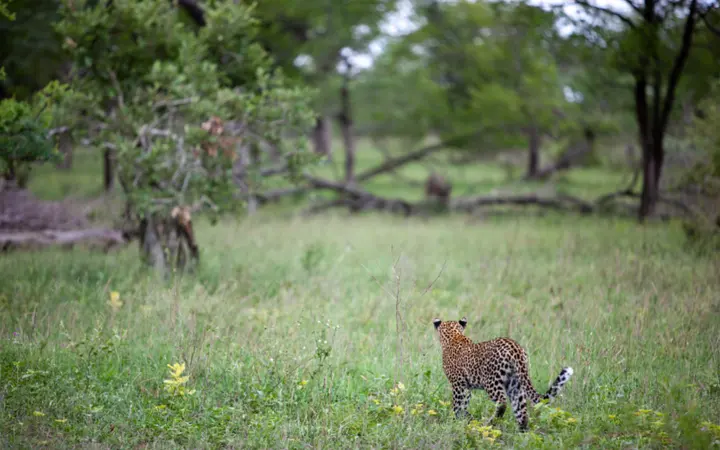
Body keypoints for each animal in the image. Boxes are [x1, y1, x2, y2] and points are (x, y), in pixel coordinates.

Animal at [433, 317, 574, 431]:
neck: (453, 336)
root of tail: (515, 348)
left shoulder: (458, 385)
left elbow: (458, 405)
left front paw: (454, 421)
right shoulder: (467, 387)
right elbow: (464, 405)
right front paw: (465, 418)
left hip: (492, 382)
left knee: (502, 403)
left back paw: (491, 422)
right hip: (516, 384)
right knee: (521, 412)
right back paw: (522, 435)